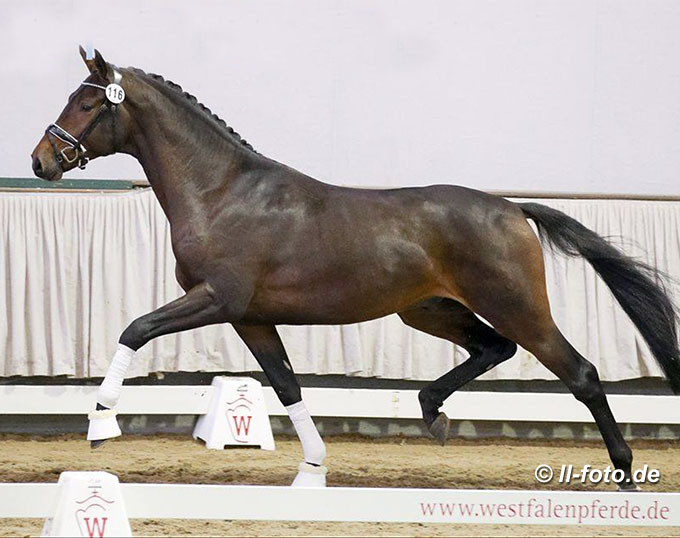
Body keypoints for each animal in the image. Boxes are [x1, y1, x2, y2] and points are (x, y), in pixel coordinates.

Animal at [31, 47, 679, 489]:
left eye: (86, 103)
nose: (40, 161)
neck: (222, 192)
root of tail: (512, 209)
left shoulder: (217, 299)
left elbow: (135, 329)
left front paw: (100, 425)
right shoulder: (251, 317)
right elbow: (286, 385)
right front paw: (314, 467)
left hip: (517, 307)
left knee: (581, 374)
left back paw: (624, 474)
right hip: (429, 311)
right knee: (494, 350)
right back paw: (432, 413)